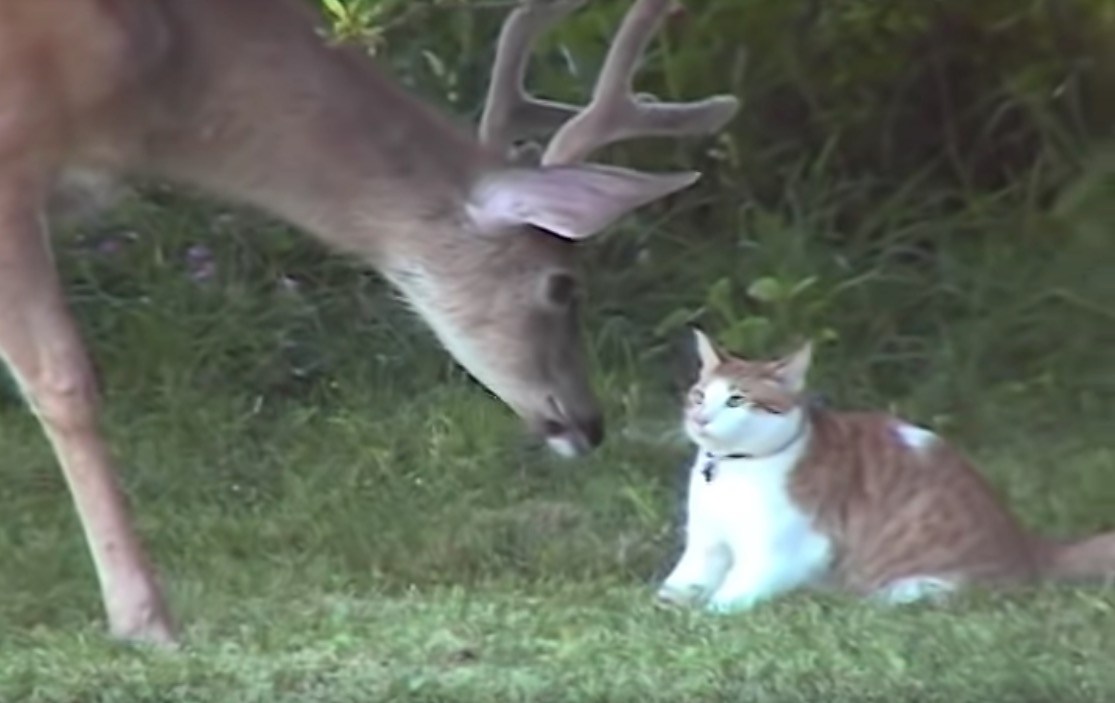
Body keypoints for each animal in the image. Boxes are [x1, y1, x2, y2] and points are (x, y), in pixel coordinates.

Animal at [655, 328, 1110, 615]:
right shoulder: (705, 543)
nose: (700, 418)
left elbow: (732, 595)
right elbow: (677, 585)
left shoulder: (788, 551)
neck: (734, 468)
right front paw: (667, 606)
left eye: (736, 400)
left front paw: (706, 615)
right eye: (699, 396)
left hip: (916, 586)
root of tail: (1031, 546)